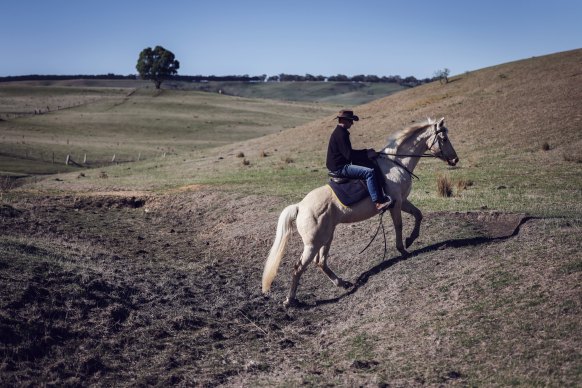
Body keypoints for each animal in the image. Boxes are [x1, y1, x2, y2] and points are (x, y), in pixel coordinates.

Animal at [264, 117, 460, 306]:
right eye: (444, 138)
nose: (455, 159)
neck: (396, 163)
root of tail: (300, 206)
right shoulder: (396, 203)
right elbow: (399, 225)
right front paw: (403, 249)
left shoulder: (403, 201)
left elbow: (418, 214)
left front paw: (410, 240)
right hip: (313, 243)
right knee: (299, 267)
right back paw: (290, 301)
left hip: (326, 237)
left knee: (320, 262)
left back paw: (342, 283)